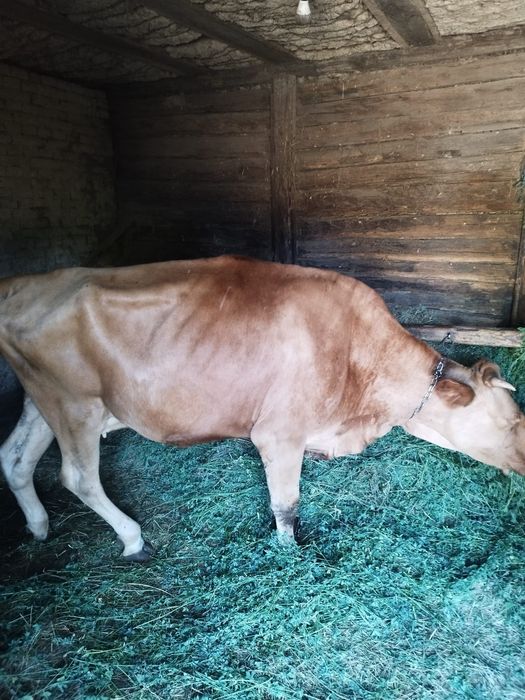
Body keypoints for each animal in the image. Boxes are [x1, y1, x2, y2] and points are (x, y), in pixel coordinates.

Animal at [0, 255, 524, 561]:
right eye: (512, 419)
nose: (523, 463)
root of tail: (24, 283)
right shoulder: (280, 432)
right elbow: (286, 505)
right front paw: (290, 552)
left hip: (43, 398)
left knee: (15, 457)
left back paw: (39, 527)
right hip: (75, 403)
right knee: (78, 477)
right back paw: (132, 539)